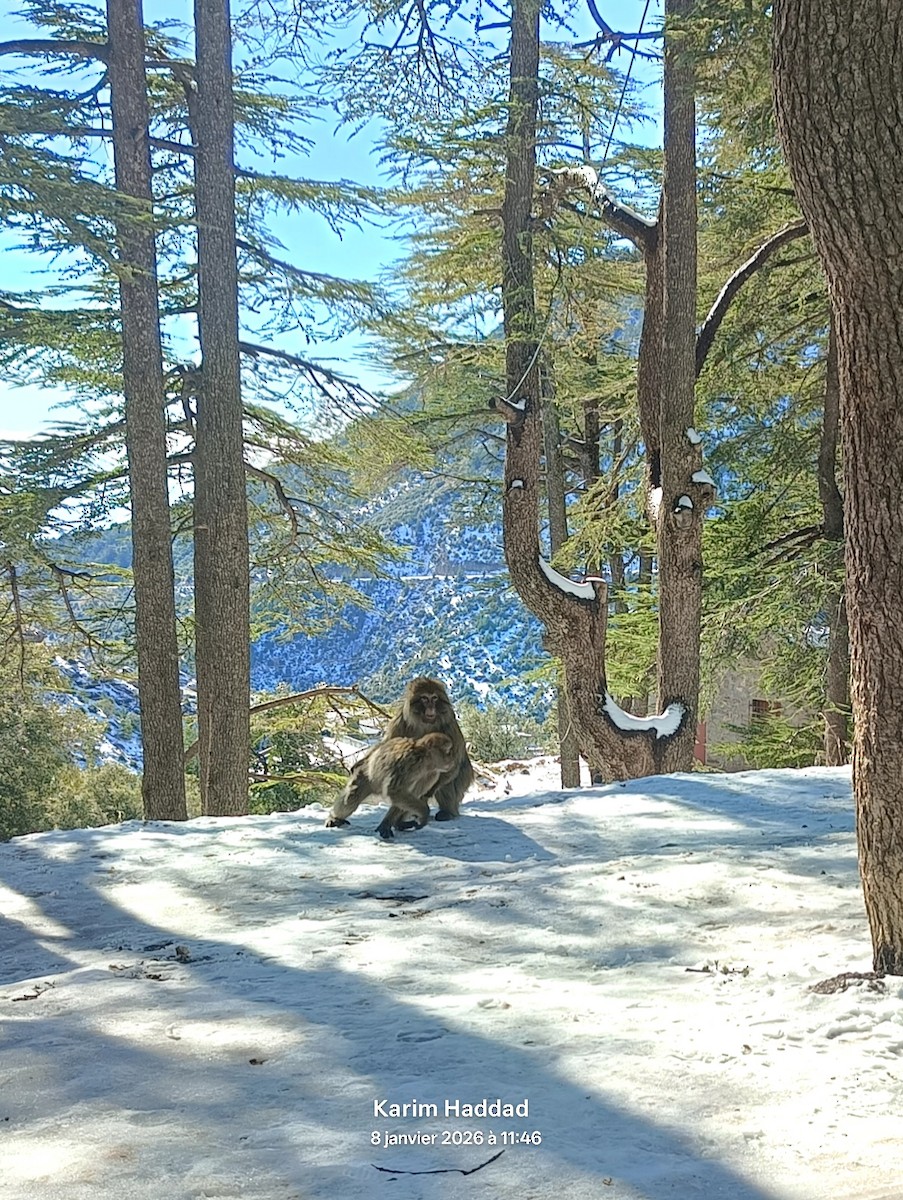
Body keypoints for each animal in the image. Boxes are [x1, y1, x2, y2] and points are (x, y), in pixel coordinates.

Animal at [326, 732, 456, 840]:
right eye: (448, 751)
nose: (452, 759)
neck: (425, 761)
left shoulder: (431, 774)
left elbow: (408, 794)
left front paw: (386, 825)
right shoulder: (408, 762)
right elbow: (395, 791)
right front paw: (425, 813)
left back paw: (398, 823)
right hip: (364, 773)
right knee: (353, 796)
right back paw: (334, 817)